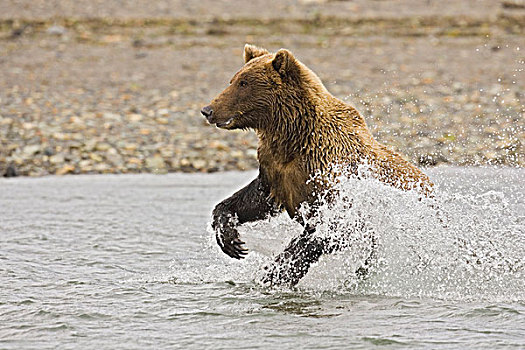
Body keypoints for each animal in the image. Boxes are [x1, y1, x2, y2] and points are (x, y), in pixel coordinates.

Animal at [200, 43, 430, 288]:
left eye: (244, 83)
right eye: (233, 80)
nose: (208, 110)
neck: (292, 135)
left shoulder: (329, 172)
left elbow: (334, 227)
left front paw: (277, 271)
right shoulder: (275, 169)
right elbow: (257, 198)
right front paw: (230, 238)